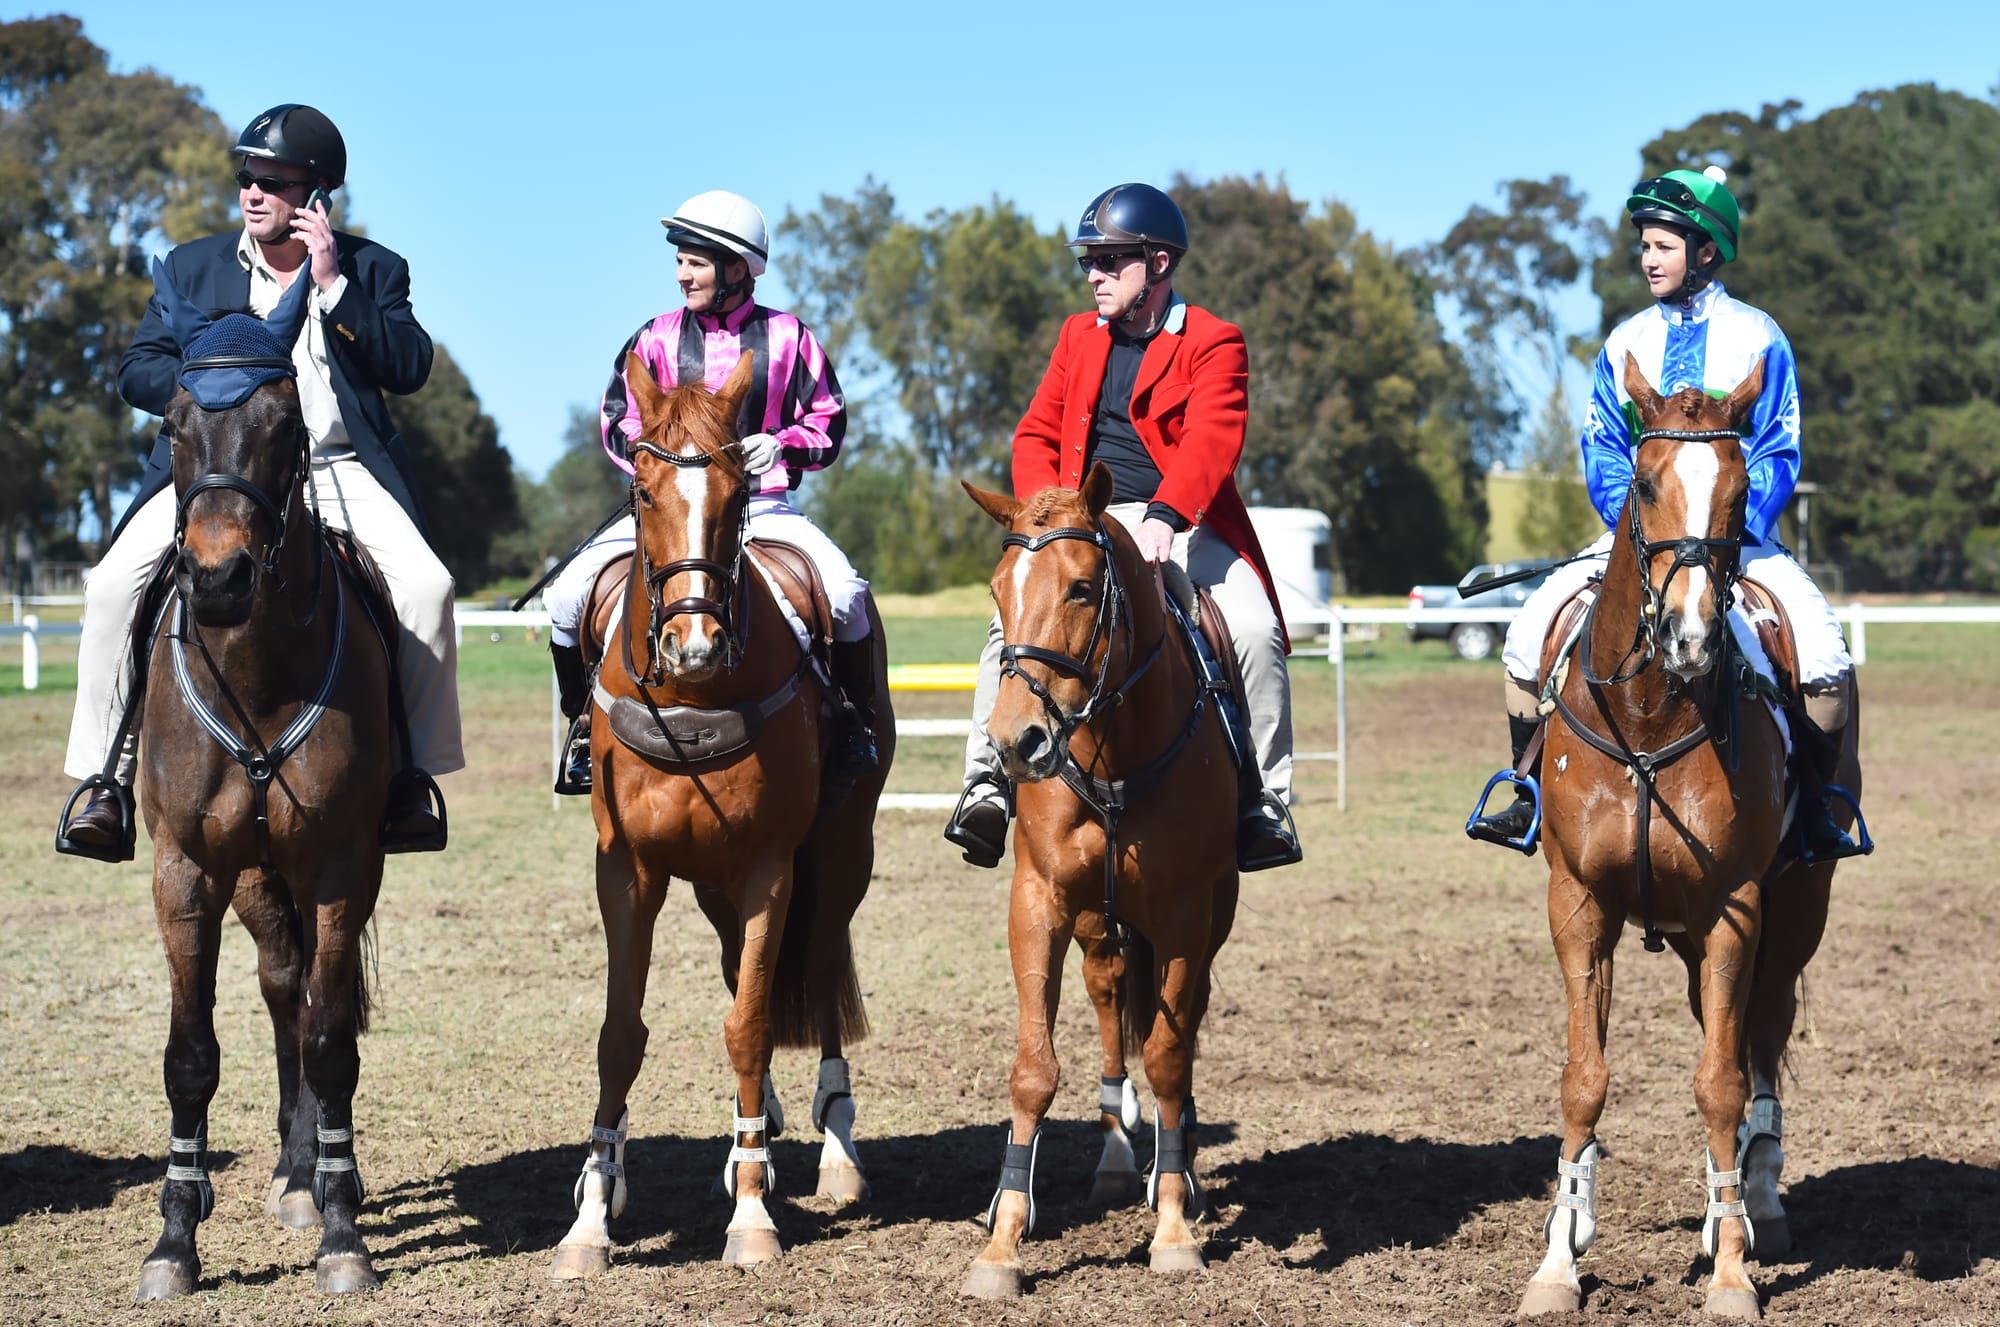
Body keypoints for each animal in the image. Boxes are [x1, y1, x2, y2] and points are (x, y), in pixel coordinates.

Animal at [125, 267, 394, 1295]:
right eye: (172, 424)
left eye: (285, 421)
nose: (220, 580)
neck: (254, 668)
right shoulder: (186, 869)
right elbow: (191, 1053)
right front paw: (172, 1239)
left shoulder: (340, 865)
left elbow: (330, 1039)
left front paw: (344, 1231)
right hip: (249, 876)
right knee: (281, 984)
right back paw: (282, 1171)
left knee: (307, 1002)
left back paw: (310, 1177)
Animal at [548, 349, 892, 1279]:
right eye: (641, 492)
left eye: (739, 494)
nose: (693, 644)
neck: (695, 699)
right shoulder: (625, 866)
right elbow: (620, 1033)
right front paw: (591, 1213)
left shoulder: (772, 864)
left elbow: (750, 1025)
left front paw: (752, 1213)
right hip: (710, 884)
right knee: (746, 970)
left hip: (836, 861)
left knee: (809, 974)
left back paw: (832, 1152)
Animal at [952, 471, 1232, 1303]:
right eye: (998, 590)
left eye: (1081, 587)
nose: (1016, 741)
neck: (1117, 746)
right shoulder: (1039, 902)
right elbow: (1033, 1069)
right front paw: (1003, 1241)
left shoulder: (1185, 914)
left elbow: (1170, 1056)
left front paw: (1172, 1225)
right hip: (1097, 923)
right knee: (1109, 999)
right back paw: (1113, 1155)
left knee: (1184, 1024)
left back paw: (1181, 1165)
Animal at [1512, 351, 1856, 1319]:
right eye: (1645, 480)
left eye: (1740, 492)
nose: (1692, 635)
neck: (1649, 715)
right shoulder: (1577, 904)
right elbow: (1584, 1078)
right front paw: (1559, 1255)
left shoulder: (1736, 910)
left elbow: (1721, 1082)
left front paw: (1734, 1267)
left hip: (1792, 913)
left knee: (1757, 1043)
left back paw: (1753, 1202)